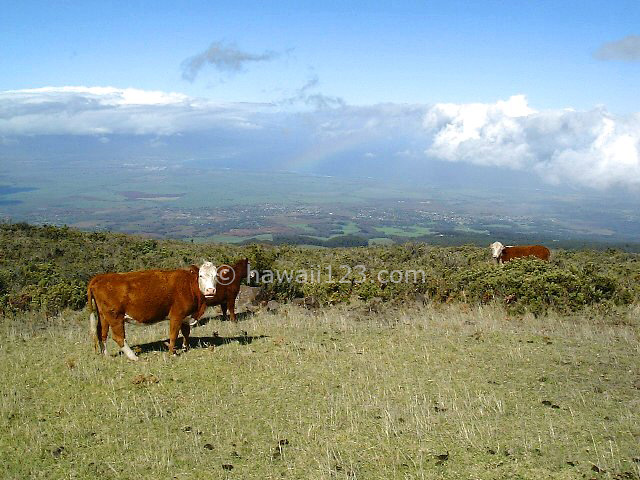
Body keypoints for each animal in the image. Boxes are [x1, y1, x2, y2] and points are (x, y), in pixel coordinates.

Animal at [86, 262, 219, 360]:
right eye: (201, 276)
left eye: (215, 276)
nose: (210, 290)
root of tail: (101, 277)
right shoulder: (177, 315)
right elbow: (173, 334)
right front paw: (172, 353)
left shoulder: (186, 316)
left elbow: (186, 332)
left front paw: (185, 347)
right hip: (115, 316)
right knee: (118, 337)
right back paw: (133, 357)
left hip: (103, 316)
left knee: (102, 333)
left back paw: (106, 355)